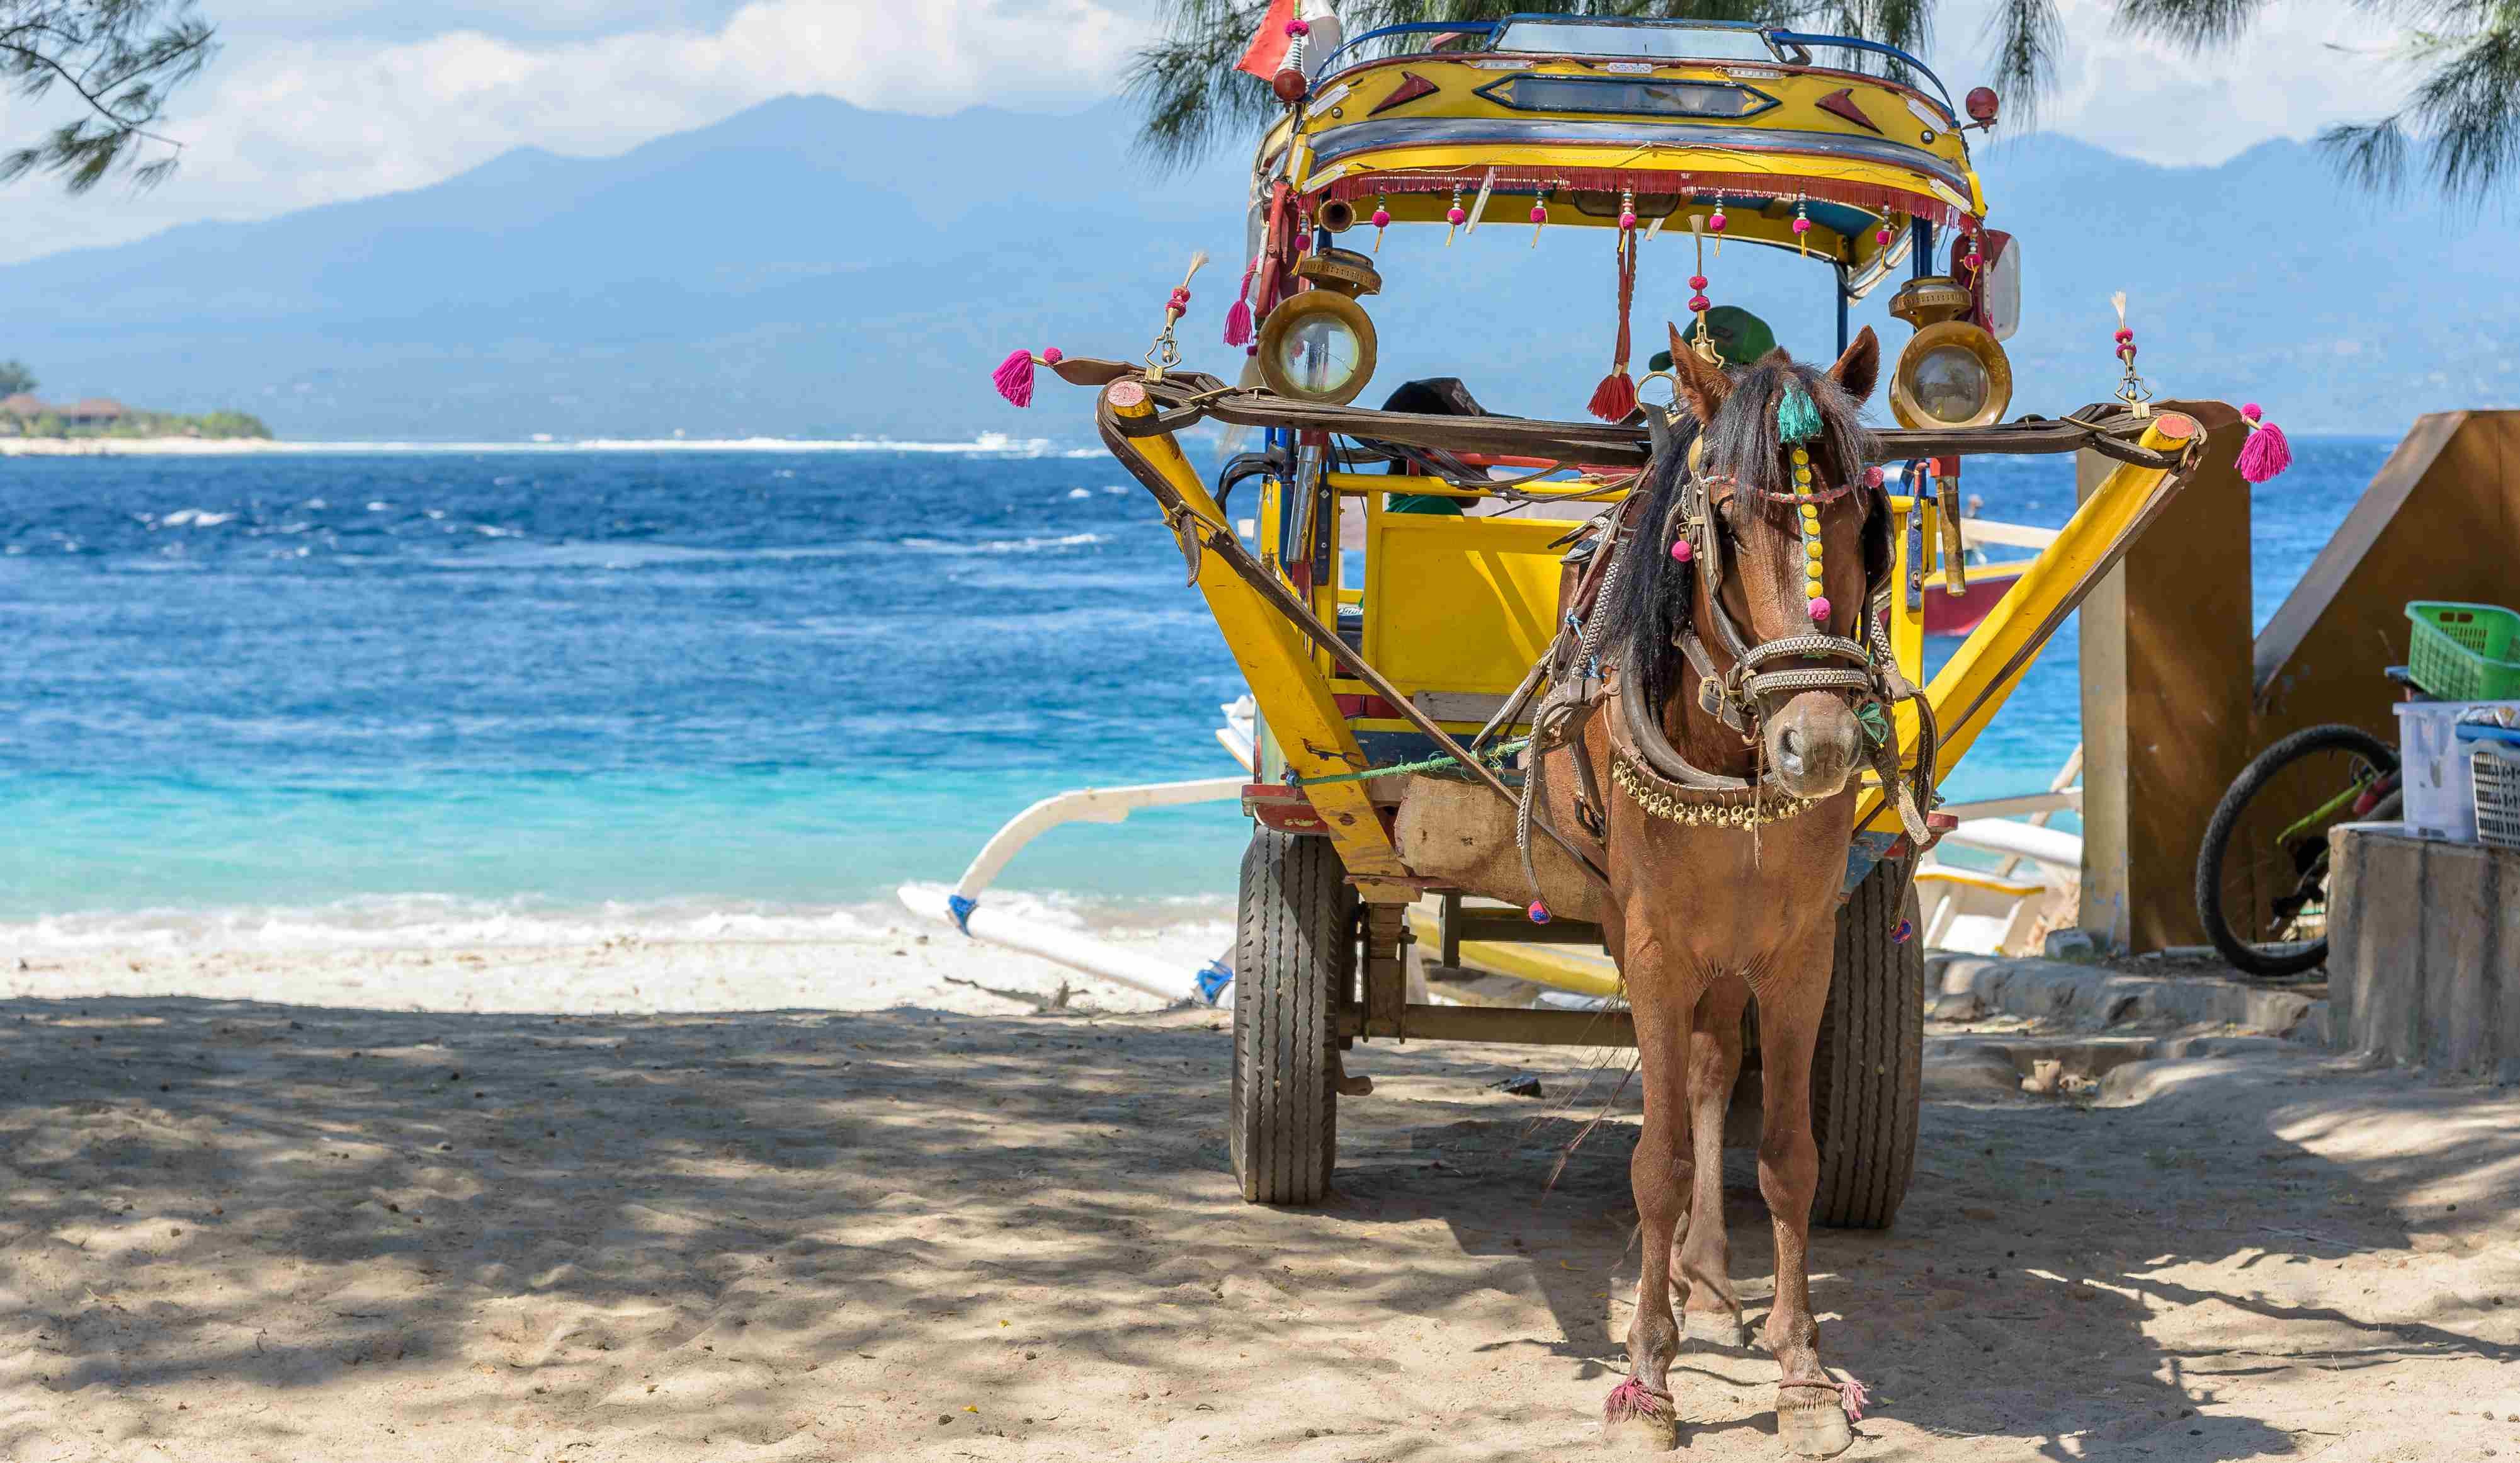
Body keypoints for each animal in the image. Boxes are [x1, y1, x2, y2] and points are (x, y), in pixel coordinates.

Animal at [1540, 321, 1911, 1456]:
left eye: (1866, 519)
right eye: (1730, 521)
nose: (1819, 743)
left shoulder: (1800, 955)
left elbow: (1789, 1156)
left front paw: (1803, 1374)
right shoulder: (1655, 948)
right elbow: (1654, 1158)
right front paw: (1646, 1377)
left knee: (1711, 1070)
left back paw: (1703, 1277)